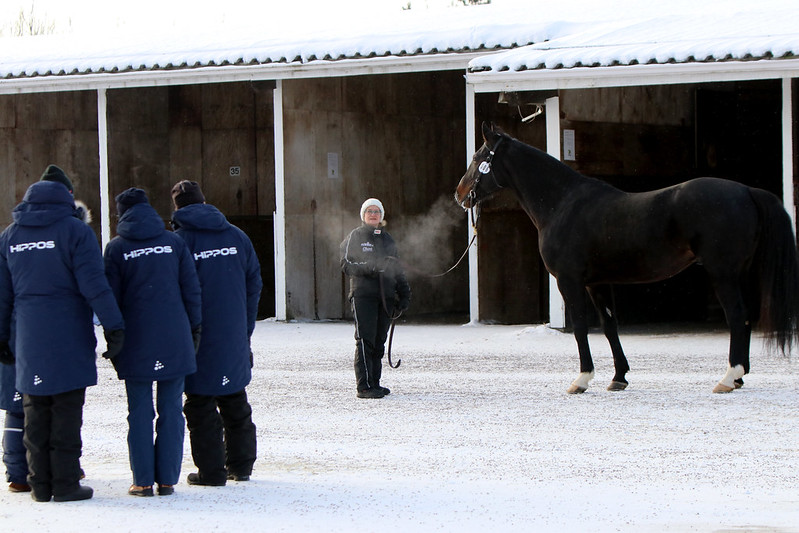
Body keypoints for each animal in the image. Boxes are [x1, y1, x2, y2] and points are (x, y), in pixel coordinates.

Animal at [456, 122, 799, 392]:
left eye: (478, 158)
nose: (459, 194)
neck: (563, 203)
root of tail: (746, 191)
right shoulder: (597, 283)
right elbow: (610, 326)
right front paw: (619, 377)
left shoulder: (569, 281)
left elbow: (580, 327)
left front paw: (582, 379)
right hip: (740, 273)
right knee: (746, 317)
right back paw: (739, 377)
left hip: (723, 274)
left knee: (737, 316)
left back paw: (728, 378)